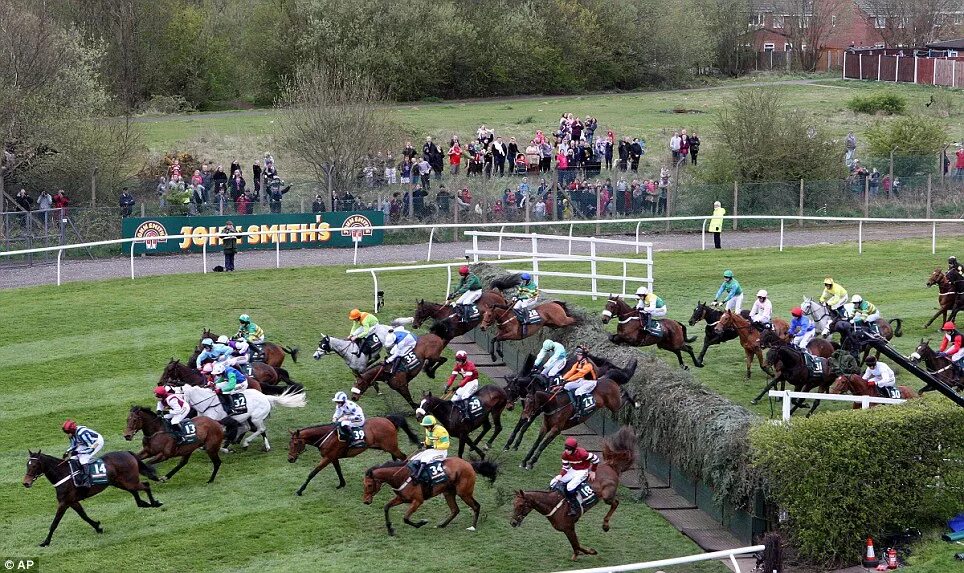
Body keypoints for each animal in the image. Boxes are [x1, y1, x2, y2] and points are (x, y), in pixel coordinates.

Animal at [20, 450, 163, 548]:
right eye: (27, 465)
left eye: (34, 466)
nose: (26, 483)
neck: (63, 473)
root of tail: (127, 452)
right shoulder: (72, 501)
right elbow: (84, 516)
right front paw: (98, 527)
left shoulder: (64, 502)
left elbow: (54, 523)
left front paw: (45, 542)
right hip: (121, 482)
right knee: (135, 492)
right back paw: (144, 503)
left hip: (129, 481)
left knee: (146, 485)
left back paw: (154, 503)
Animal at [178, 382, 306, 450]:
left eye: (179, 395)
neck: (206, 402)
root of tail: (265, 397)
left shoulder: (217, 421)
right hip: (244, 418)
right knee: (246, 428)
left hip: (256, 418)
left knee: (261, 429)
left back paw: (246, 442)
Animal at [288, 414, 420, 494]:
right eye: (289, 443)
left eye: (295, 443)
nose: (290, 459)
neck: (326, 436)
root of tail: (388, 419)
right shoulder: (333, 457)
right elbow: (338, 470)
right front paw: (341, 484)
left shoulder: (327, 457)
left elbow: (313, 472)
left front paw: (300, 490)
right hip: (385, 447)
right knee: (396, 458)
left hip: (391, 446)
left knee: (404, 457)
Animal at [362, 454, 498, 536]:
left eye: (369, 485)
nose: (366, 501)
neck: (402, 475)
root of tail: (469, 464)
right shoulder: (401, 498)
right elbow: (386, 507)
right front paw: (390, 530)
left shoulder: (417, 500)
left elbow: (406, 518)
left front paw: (421, 523)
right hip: (448, 492)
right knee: (455, 510)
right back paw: (442, 525)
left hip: (464, 493)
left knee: (476, 506)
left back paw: (473, 527)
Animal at [512, 426, 640, 560]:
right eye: (513, 504)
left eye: (521, 505)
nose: (513, 522)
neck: (553, 505)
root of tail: (611, 466)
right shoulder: (566, 529)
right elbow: (575, 546)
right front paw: (577, 554)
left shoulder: (569, 527)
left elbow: (577, 545)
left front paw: (591, 551)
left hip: (606, 496)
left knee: (615, 502)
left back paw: (605, 525)